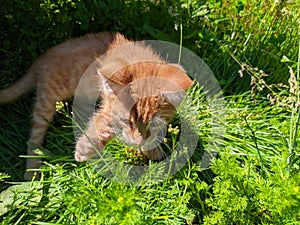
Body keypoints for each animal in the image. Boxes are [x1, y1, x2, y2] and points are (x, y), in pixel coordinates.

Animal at [0, 32, 193, 179]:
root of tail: (39, 61)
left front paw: (152, 150)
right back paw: (32, 169)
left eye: (153, 124)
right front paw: (85, 148)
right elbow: (100, 124)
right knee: (35, 132)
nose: (138, 140)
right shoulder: (108, 108)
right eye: (126, 121)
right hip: (50, 98)